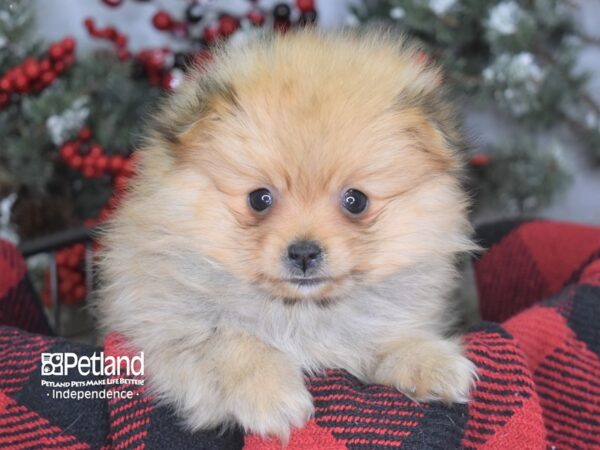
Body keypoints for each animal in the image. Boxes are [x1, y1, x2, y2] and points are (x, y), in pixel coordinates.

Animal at [98, 30, 478, 440]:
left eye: (356, 201)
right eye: (259, 199)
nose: (304, 253)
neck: (299, 311)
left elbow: (387, 338)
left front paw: (431, 360)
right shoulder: (165, 330)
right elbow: (231, 340)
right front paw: (270, 395)